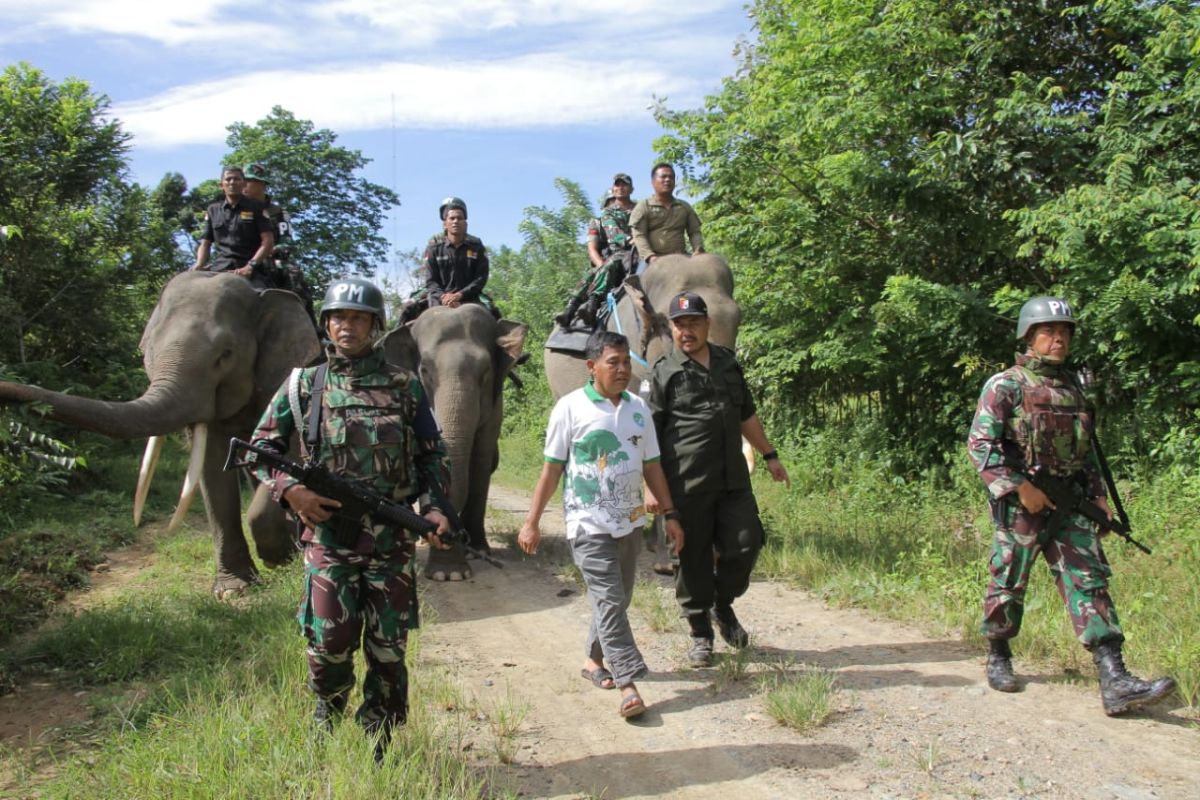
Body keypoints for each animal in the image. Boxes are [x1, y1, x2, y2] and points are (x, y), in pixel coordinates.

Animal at [0, 272, 321, 597]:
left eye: (225, 354)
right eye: (148, 352)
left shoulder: (286, 375)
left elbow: (289, 456)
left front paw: (274, 558)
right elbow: (212, 468)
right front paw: (233, 590)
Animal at [384, 303, 525, 578]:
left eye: (485, 372)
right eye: (425, 370)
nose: (454, 535)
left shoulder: (495, 407)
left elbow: (480, 462)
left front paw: (473, 555)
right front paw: (447, 575)